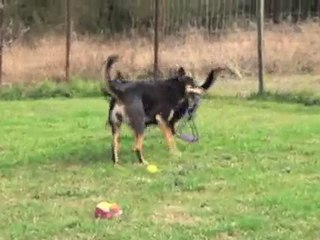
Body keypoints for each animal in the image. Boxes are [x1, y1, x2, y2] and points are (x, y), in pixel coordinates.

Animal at [102, 54, 238, 165]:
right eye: (193, 84)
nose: (202, 88)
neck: (176, 87)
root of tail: (120, 92)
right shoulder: (163, 120)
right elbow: (171, 139)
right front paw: (176, 153)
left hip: (116, 126)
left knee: (114, 146)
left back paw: (117, 164)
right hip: (140, 125)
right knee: (137, 147)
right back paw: (143, 162)